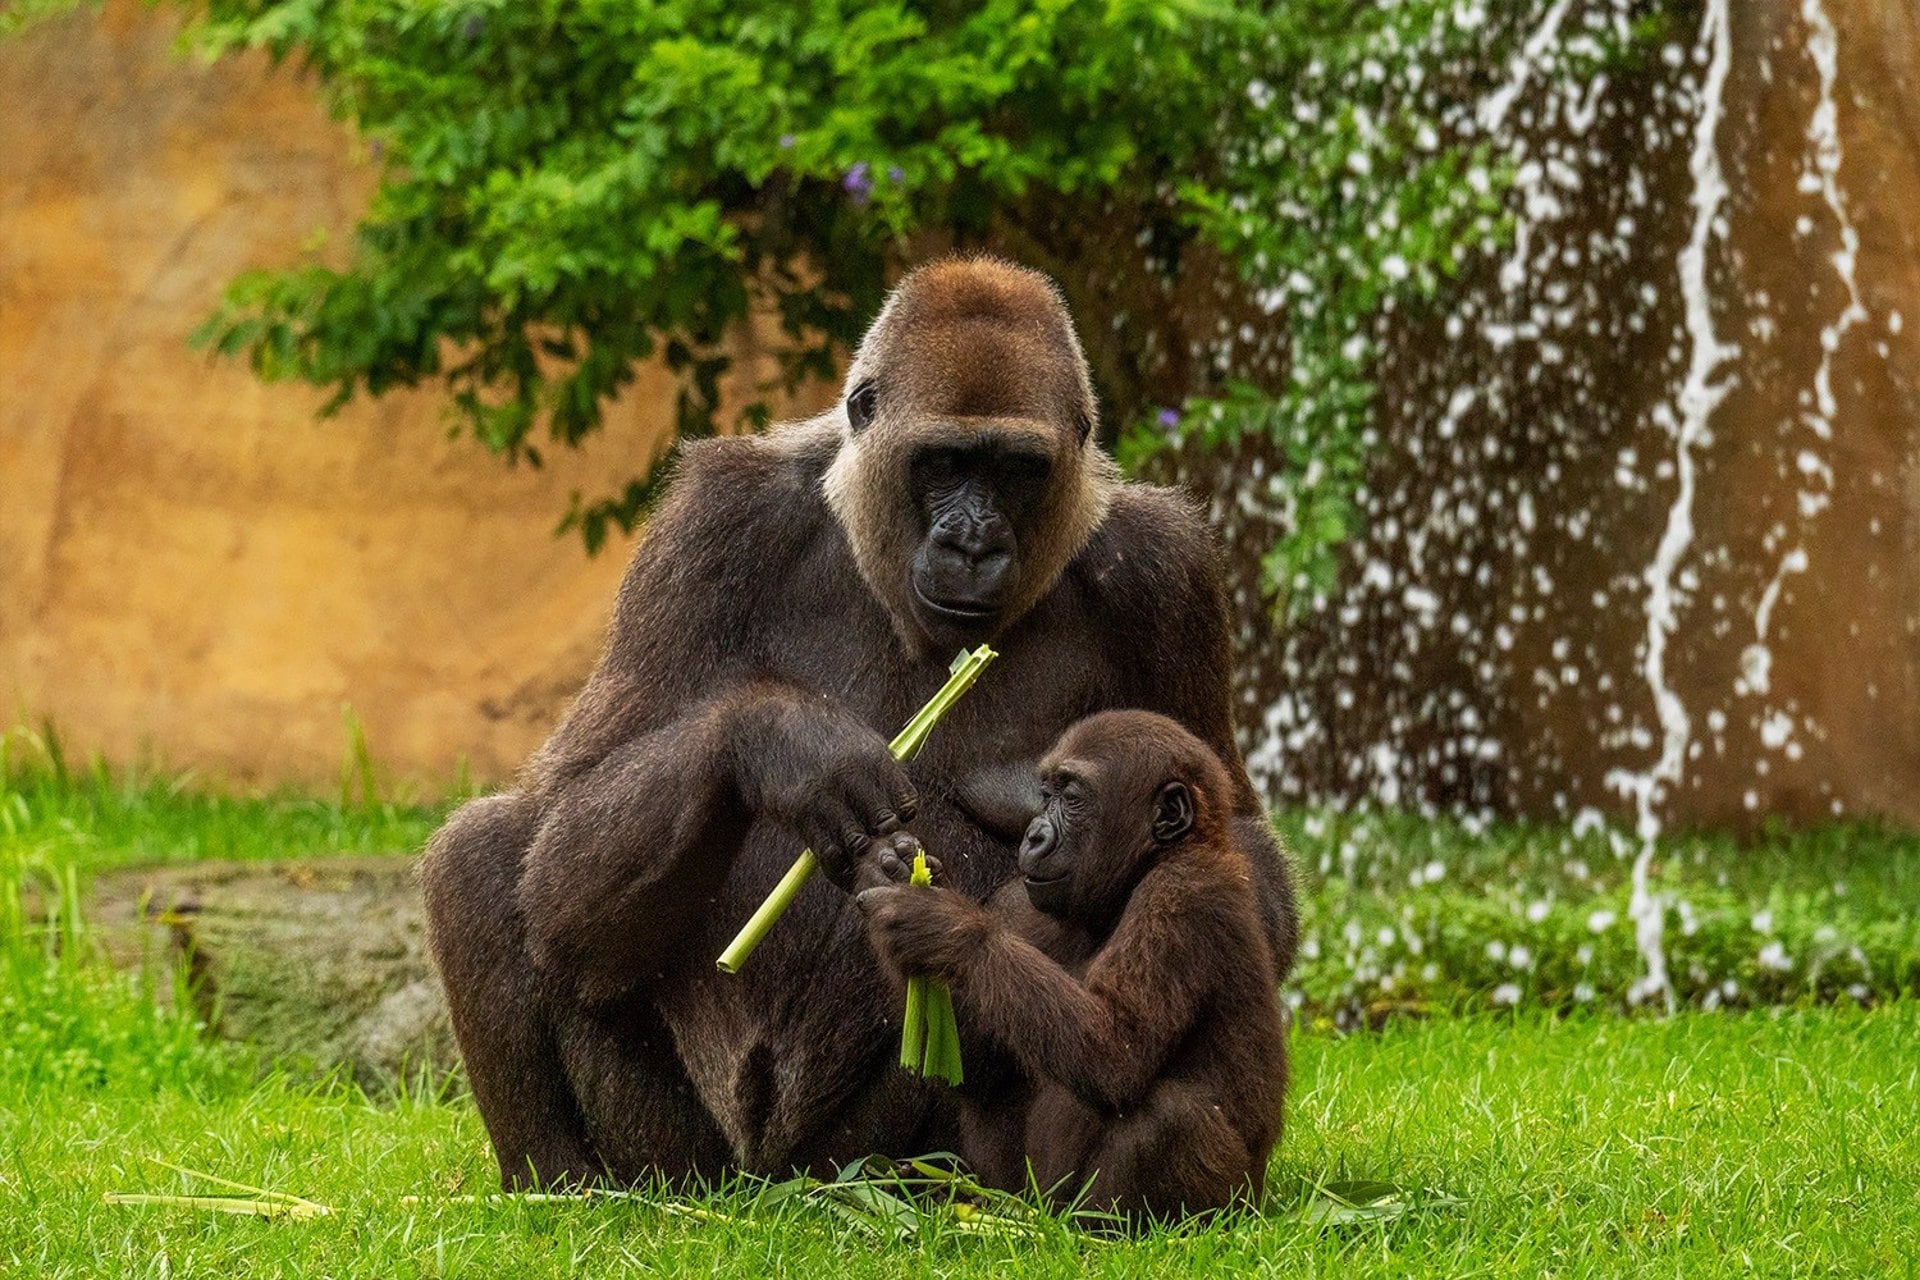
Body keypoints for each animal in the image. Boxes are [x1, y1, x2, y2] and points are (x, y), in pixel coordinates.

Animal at [860, 710, 1282, 1220]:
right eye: (1046, 795)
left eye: (1073, 798)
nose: (1035, 835)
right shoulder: (1024, 906)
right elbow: (979, 1065)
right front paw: (894, 873)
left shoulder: (1182, 894)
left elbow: (1114, 1050)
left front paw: (944, 923)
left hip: (1235, 1207)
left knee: (1172, 1117)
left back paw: (1097, 1228)